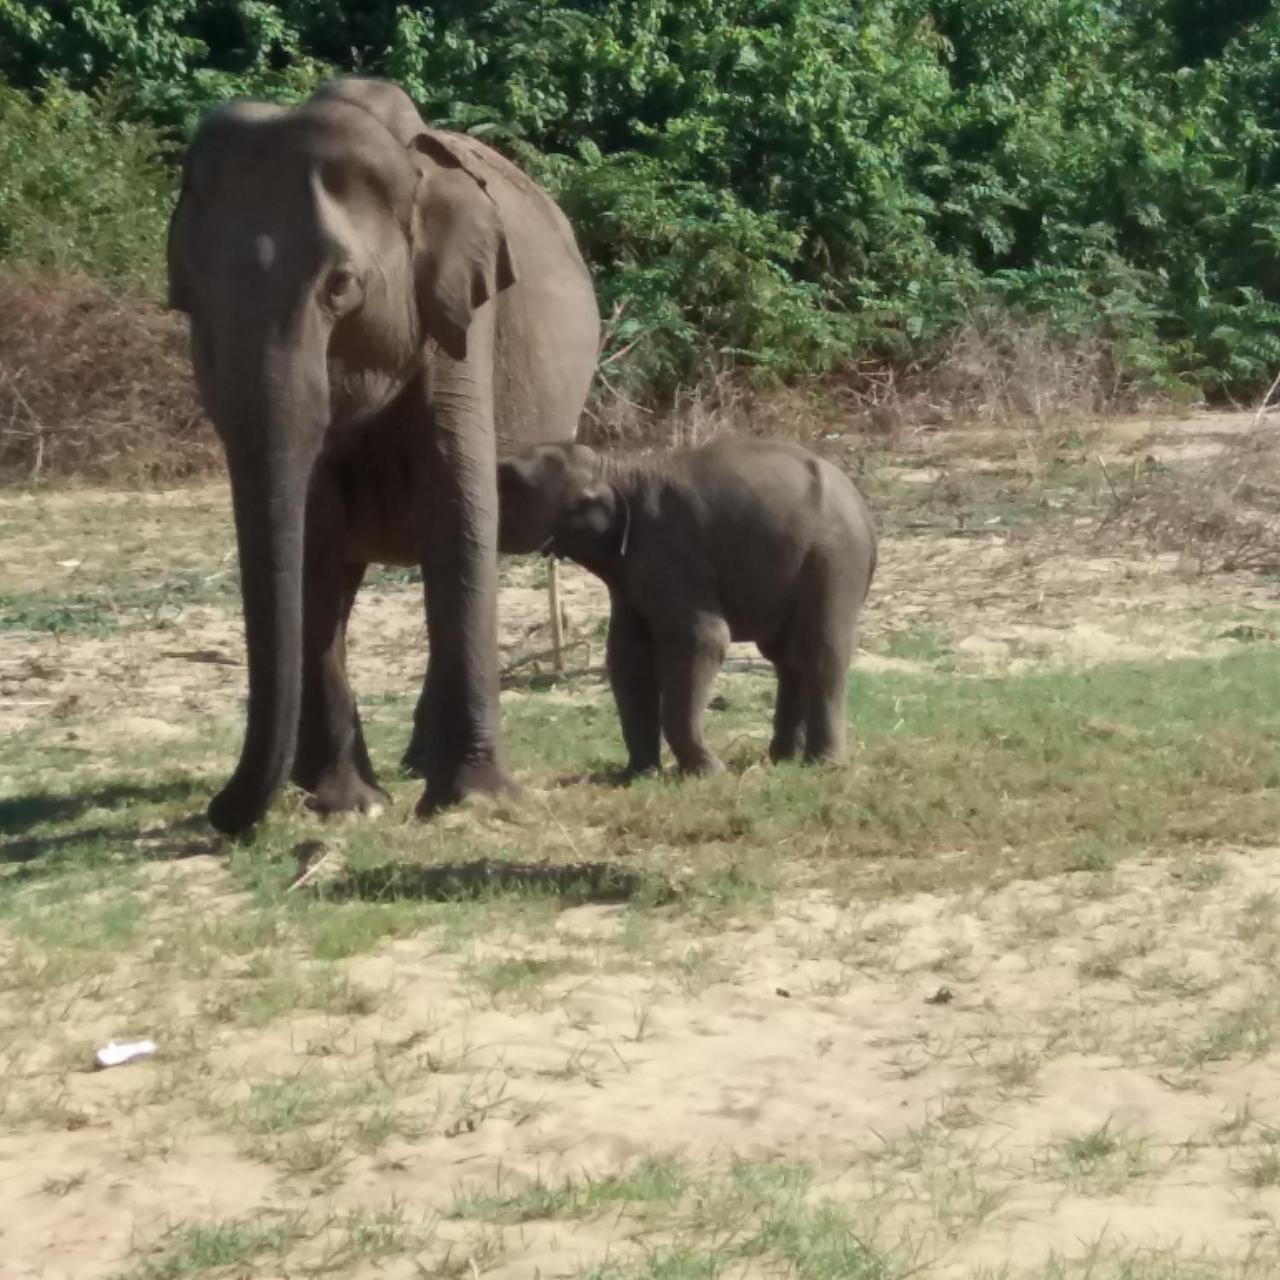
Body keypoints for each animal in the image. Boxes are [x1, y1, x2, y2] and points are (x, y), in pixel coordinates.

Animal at [168, 82, 599, 839]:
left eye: (341, 286)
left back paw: (423, 763)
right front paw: (347, 805)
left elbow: (458, 513)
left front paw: (474, 800)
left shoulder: (463, 318)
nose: (222, 813)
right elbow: (314, 543)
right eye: (188, 294)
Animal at [494, 440, 875, 773]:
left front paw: (709, 772)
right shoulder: (632, 574)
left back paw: (823, 765)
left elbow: (703, 639)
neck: (614, 468)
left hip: (833, 559)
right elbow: (627, 655)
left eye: (508, 480)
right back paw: (782, 761)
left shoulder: (671, 554)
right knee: (785, 657)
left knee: (820, 651)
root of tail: (862, 508)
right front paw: (637, 774)